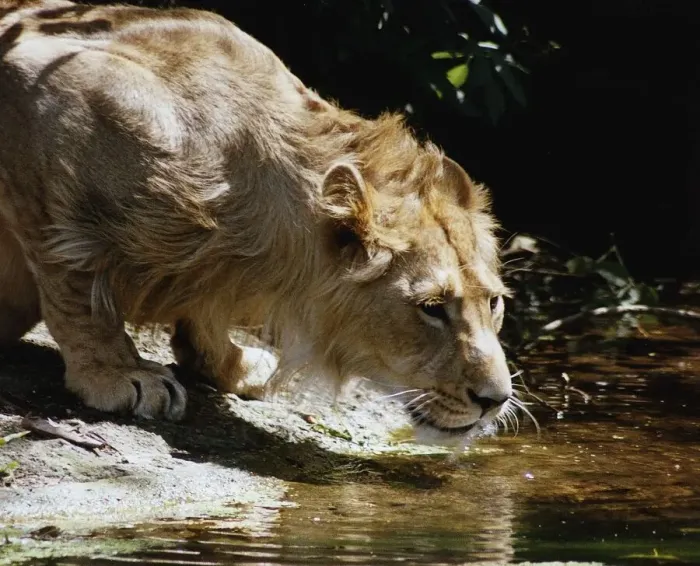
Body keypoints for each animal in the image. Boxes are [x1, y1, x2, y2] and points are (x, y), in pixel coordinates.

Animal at [0, 0, 516, 443]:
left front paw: (231, 363)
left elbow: (202, 310)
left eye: (492, 302)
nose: (496, 400)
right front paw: (116, 372)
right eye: (431, 308)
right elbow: (75, 278)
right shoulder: (48, 86)